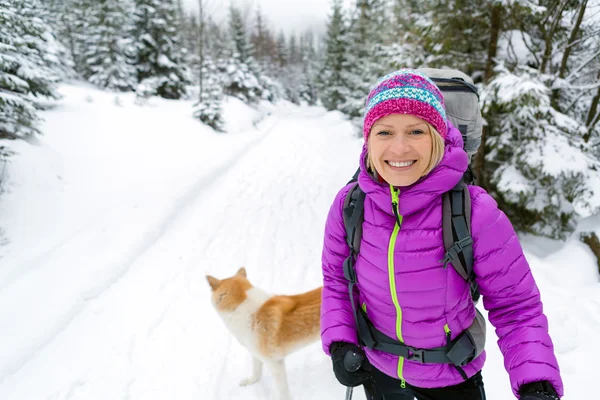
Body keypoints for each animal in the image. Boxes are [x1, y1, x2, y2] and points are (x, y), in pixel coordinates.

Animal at [205, 268, 322, 398]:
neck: (242, 305)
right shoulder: (255, 352)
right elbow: (256, 370)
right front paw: (251, 381)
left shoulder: (275, 363)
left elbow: (282, 389)